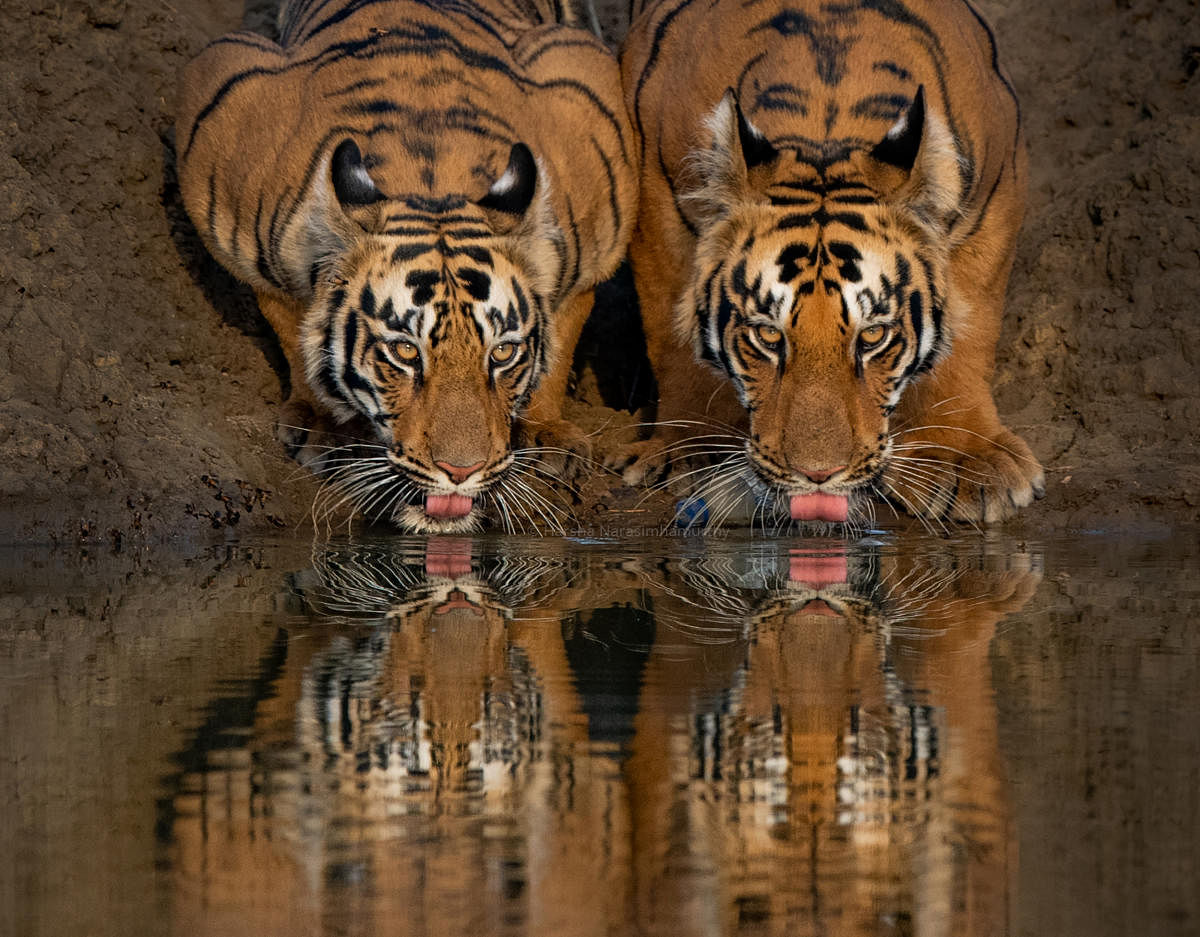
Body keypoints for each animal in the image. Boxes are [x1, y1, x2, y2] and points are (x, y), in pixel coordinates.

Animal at [174, 0, 638, 532]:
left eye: (502, 353)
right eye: (404, 352)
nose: (461, 472)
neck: (430, 179)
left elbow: (562, 332)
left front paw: (547, 432)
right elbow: (289, 318)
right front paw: (321, 423)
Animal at [614, 0, 1046, 525]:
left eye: (873, 336)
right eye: (768, 336)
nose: (818, 476)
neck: (826, 123)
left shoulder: (996, 193)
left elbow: (967, 335)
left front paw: (963, 456)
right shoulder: (658, 195)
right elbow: (675, 339)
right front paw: (696, 450)